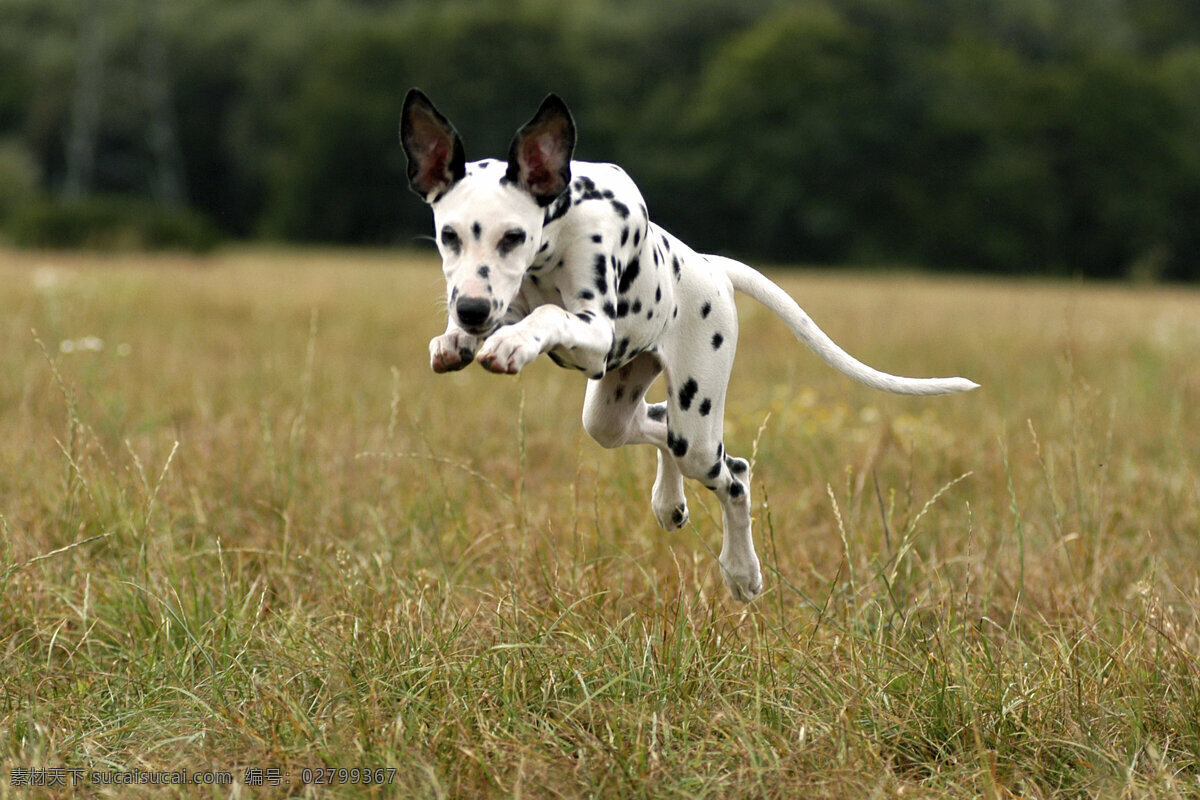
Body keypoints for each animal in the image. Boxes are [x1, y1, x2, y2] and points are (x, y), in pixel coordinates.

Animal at [398, 89, 979, 599]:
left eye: (513, 237)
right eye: (449, 236)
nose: (472, 310)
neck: (556, 233)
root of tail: (708, 265)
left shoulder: (595, 330)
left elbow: (548, 313)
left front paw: (513, 342)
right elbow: (514, 310)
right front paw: (456, 338)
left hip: (697, 425)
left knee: (733, 474)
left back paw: (742, 572)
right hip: (611, 414)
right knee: (654, 421)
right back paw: (668, 501)